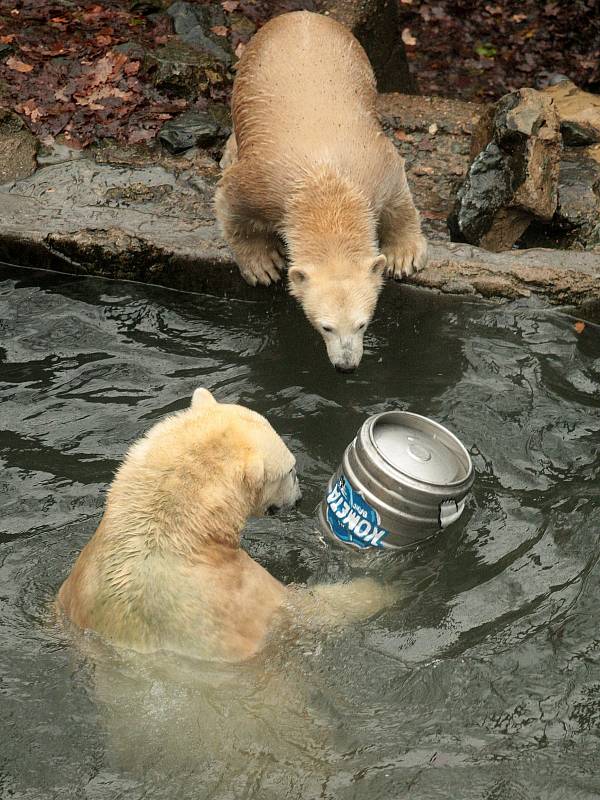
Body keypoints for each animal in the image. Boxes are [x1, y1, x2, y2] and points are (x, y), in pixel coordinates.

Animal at [216, 10, 426, 372]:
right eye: (325, 326)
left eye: (363, 323)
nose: (346, 366)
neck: (325, 189)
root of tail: (303, 14)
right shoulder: (261, 185)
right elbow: (232, 204)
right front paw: (263, 265)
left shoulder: (375, 170)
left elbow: (399, 200)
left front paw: (404, 256)